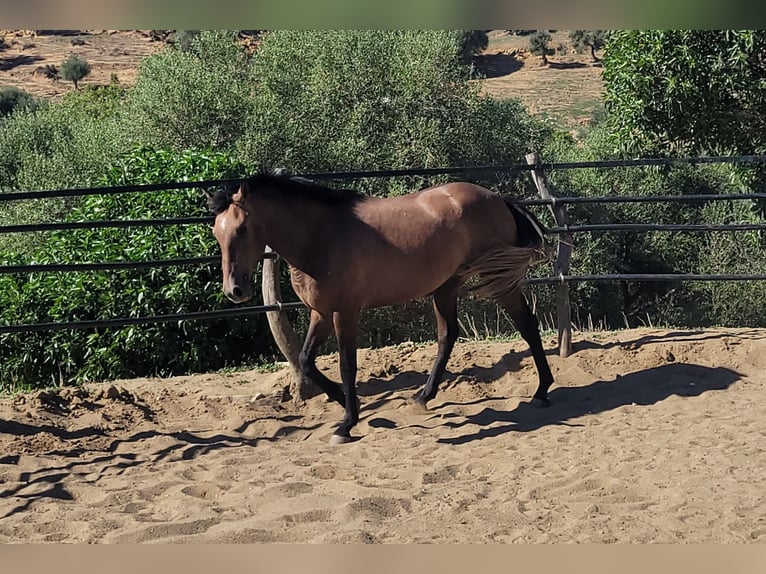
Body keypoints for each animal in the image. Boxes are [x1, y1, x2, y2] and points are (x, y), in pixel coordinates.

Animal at [210, 169, 556, 448]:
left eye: (242, 229)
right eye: (216, 231)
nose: (235, 291)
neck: (320, 237)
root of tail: (498, 199)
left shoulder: (345, 313)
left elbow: (347, 366)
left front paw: (346, 424)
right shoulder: (320, 313)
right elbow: (306, 360)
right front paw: (344, 403)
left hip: (495, 277)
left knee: (526, 324)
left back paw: (542, 391)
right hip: (447, 286)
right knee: (448, 336)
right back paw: (423, 396)